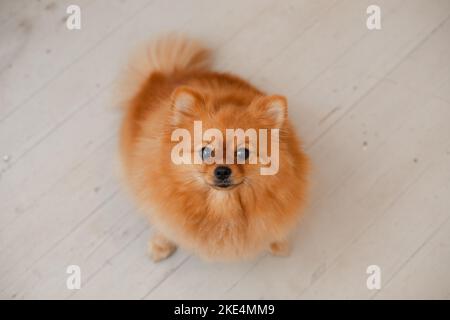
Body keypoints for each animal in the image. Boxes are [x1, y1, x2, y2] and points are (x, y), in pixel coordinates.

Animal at [118, 33, 310, 262]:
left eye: (243, 152)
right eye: (206, 152)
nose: (222, 171)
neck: (223, 207)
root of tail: (162, 74)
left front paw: (278, 243)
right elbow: (165, 224)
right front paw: (161, 244)